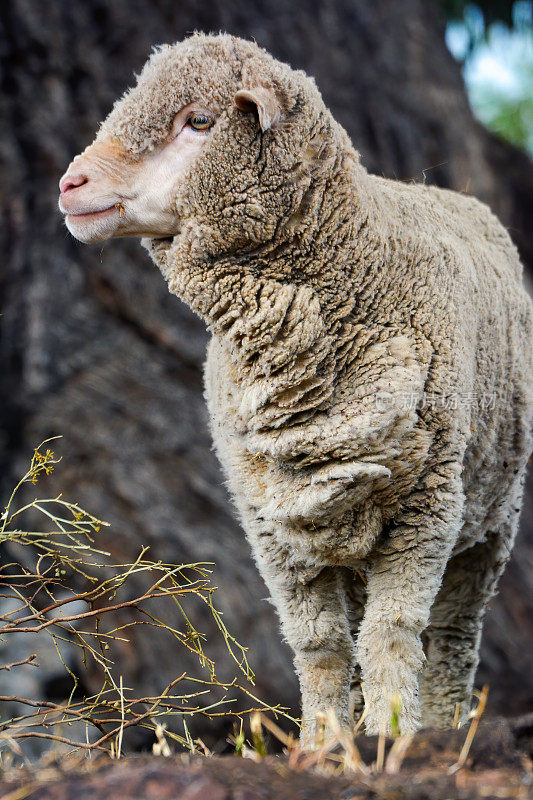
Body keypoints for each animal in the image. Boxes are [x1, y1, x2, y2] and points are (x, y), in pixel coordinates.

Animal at [58, 31, 532, 744]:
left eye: (199, 121)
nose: (70, 184)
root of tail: (459, 197)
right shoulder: (272, 517)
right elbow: (321, 646)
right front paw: (324, 742)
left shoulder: (426, 504)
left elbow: (393, 634)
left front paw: (389, 734)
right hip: (346, 521)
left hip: (490, 515)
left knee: (454, 636)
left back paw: (444, 728)